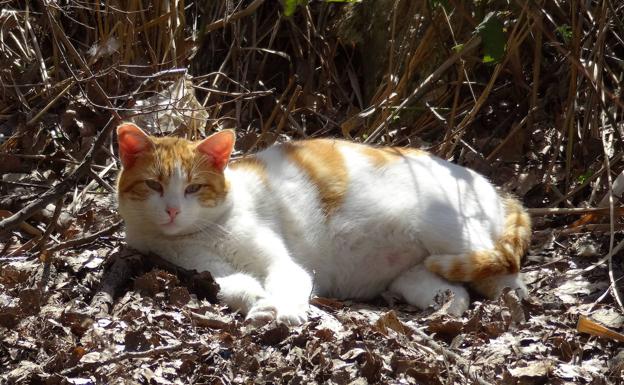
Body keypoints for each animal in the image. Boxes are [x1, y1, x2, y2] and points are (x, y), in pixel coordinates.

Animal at [117, 122, 532, 324]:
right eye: (154, 185)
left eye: (193, 188)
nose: (172, 210)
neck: (205, 232)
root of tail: (497, 189)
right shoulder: (206, 268)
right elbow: (236, 288)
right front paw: (261, 307)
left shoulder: (282, 263)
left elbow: (288, 281)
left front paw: (288, 311)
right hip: (415, 276)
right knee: (457, 290)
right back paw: (444, 310)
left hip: (448, 230)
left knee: (508, 277)